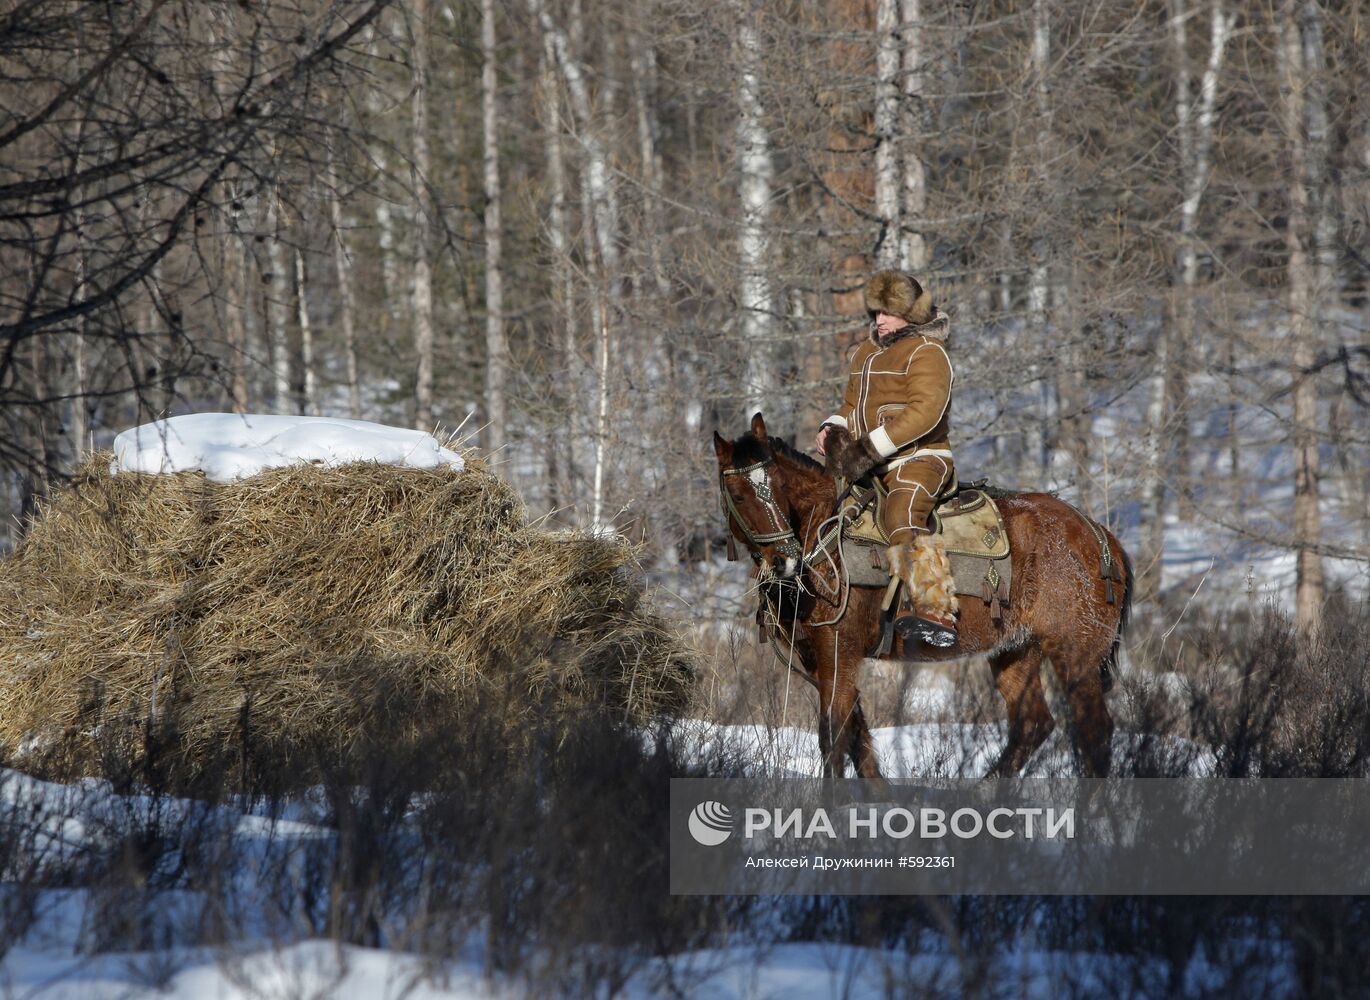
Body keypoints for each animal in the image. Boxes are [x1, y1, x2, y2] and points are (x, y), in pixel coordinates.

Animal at [712, 410, 1128, 778]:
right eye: (738, 493)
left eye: (780, 488)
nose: (785, 560)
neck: (823, 539)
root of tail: (1101, 537)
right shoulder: (818, 662)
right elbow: (858, 739)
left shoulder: (839, 654)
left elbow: (834, 738)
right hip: (1016, 651)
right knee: (1032, 725)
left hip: (1074, 653)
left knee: (1094, 731)